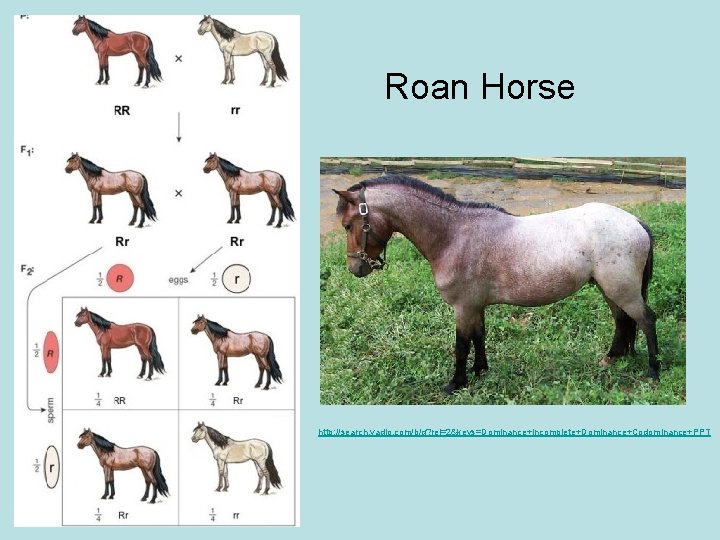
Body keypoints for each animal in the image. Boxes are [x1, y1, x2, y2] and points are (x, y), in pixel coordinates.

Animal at [334, 174, 660, 394]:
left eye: (349, 225)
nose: (356, 268)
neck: (455, 235)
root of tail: (635, 222)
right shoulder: (475, 305)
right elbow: (479, 337)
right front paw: (480, 371)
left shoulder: (463, 307)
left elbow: (461, 345)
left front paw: (456, 383)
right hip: (610, 289)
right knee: (622, 320)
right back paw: (612, 358)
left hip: (622, 290)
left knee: (646, 320)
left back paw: (653, 371)